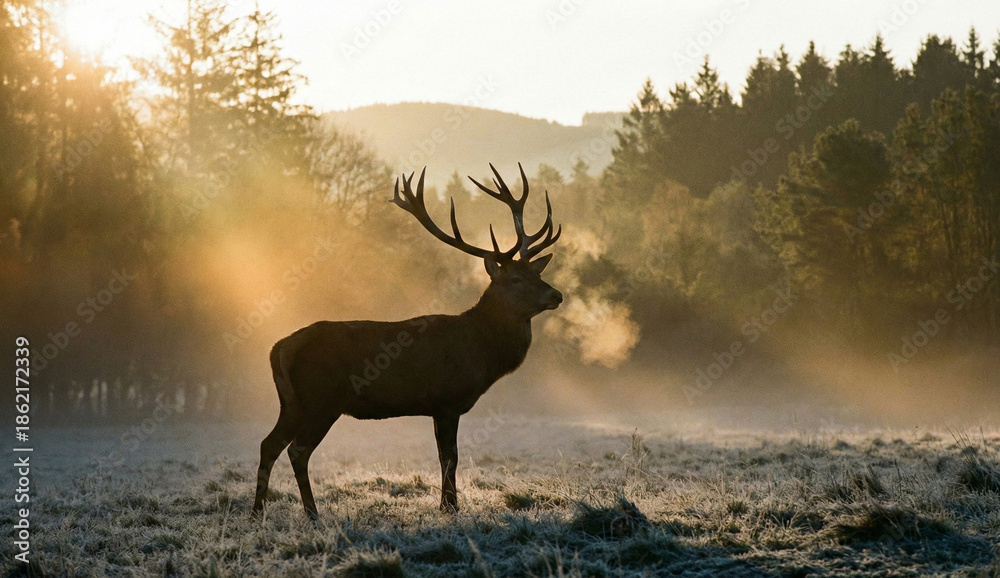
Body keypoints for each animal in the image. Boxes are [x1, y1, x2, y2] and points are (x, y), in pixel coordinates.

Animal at [252, 164, 563, 520]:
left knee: (269, 444)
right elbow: (450, 457)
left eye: (538, 274)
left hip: (291, 402)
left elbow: (444, 457)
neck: (481, 354)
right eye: (515, 278)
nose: (556, 295)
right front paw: (450, 507)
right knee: (297, 450)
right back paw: (312, 513)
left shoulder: (437, 407)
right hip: (321, 400)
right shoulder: (446, 399)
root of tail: (278, 348)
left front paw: (446, 504)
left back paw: (257, 511)